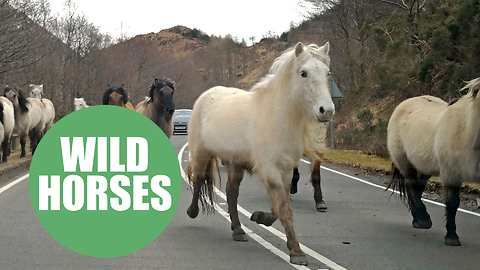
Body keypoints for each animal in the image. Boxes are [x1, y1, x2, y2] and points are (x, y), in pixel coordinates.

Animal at [187, 42, 334, 266]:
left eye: (327, 73)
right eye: (304, 73)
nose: (326, 110)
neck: (276, 116)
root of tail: (206, 95)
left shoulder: (285, 170)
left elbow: (279, 206)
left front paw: (259, 217)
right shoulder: (269, 168)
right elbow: (283, 208)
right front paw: (297, 251)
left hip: (235, 163)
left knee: (231, 193)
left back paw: (238, 230)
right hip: (201, 153)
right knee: (198, 180)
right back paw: (192, 212)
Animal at [388, 77, 480, 247]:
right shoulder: (452, 174)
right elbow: (452, 203)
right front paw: (451, 237)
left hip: (425, 167)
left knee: (418, 187)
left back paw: (418, 220)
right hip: (405, 162)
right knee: (412, 186)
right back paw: (423, 219)